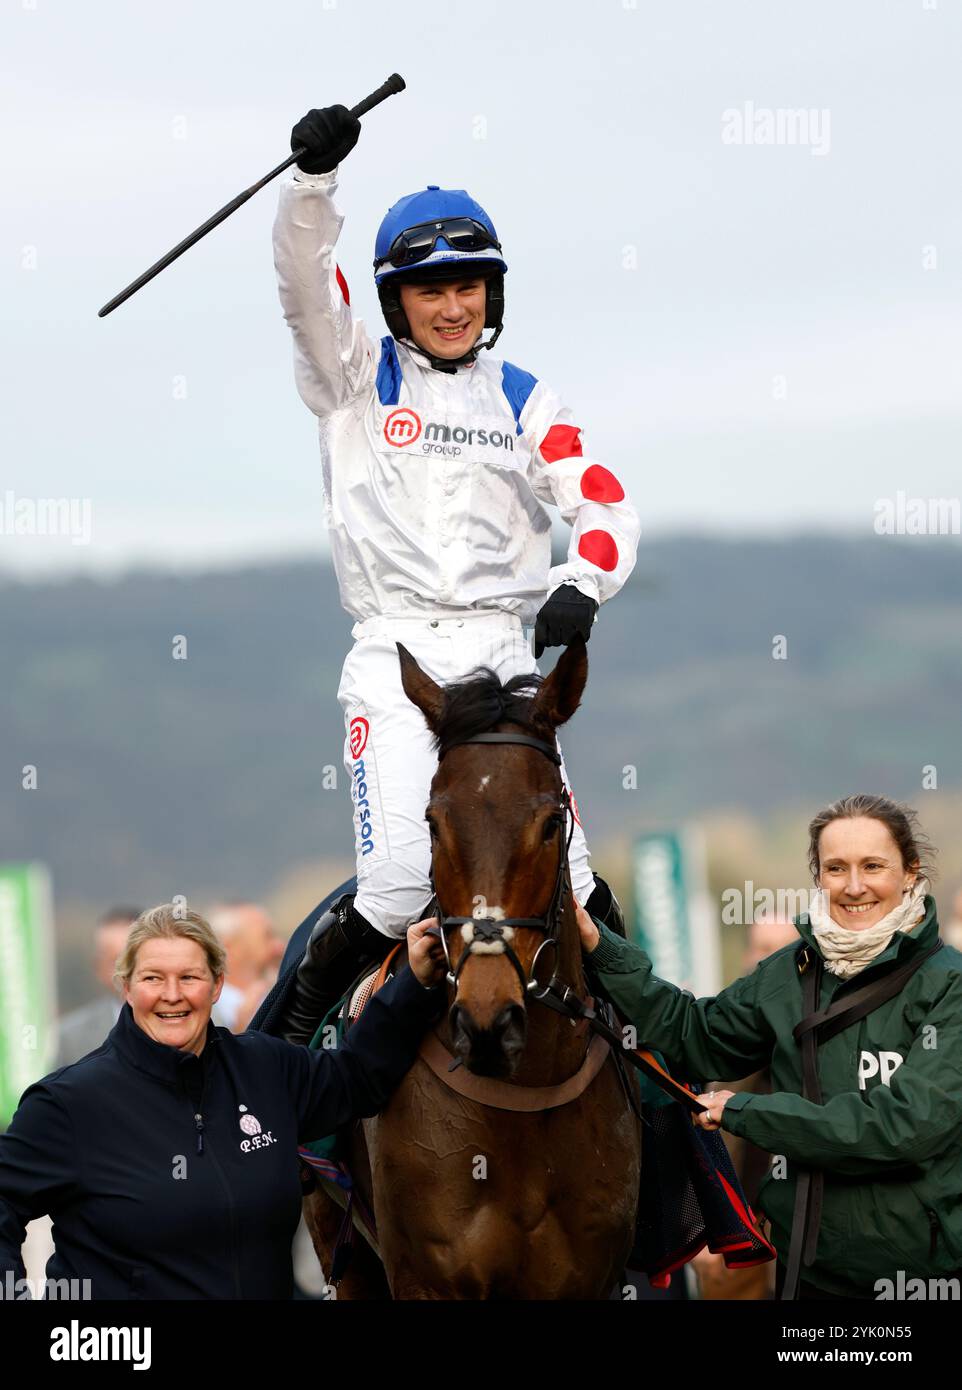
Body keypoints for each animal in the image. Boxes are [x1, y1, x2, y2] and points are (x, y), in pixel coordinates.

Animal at [304, 636, 642, 1295]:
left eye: (552, 821)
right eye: (432, 822)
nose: (488, 1021)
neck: (522, 1101)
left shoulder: (593, 1277)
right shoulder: (426, 1277)